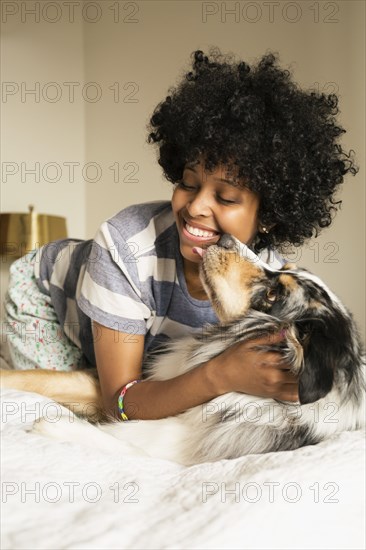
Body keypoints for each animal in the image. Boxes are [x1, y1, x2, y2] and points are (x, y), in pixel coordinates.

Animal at [1, 235, 364, 468]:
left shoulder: (164, 450)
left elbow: (113, 441)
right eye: (284, 265)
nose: (226, 236)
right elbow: (37, 377)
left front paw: (55, 426)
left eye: (274, 295)